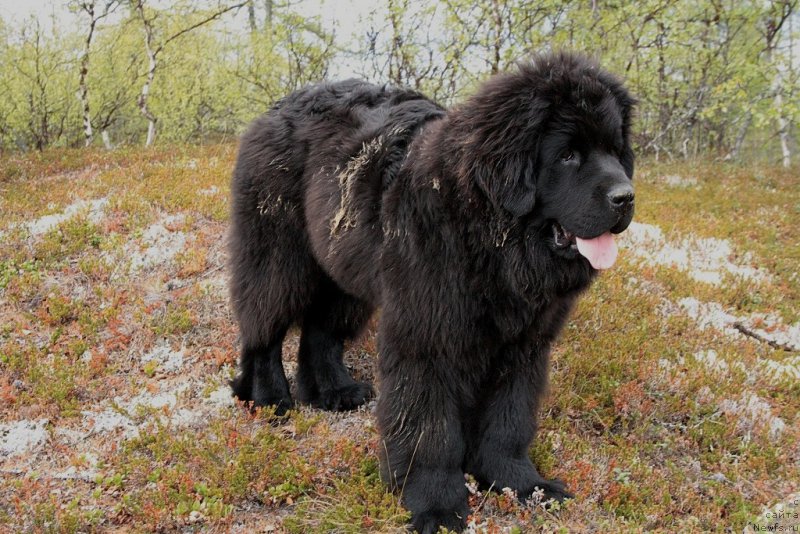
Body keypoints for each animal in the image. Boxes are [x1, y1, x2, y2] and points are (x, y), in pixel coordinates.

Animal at [228, 51, 636, 534]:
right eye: (568, 154)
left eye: (616, 151)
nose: (626, 197)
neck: (489, 238)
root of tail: (275, 109)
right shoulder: (428, 335)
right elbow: (430, 428)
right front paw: (435, 505)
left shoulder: (523, 344)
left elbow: (508, 419)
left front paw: (521, 484)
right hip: (278, 254)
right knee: (264, 326)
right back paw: (269, 399)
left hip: (345, 264)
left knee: (321, 332)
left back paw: (334, 392)